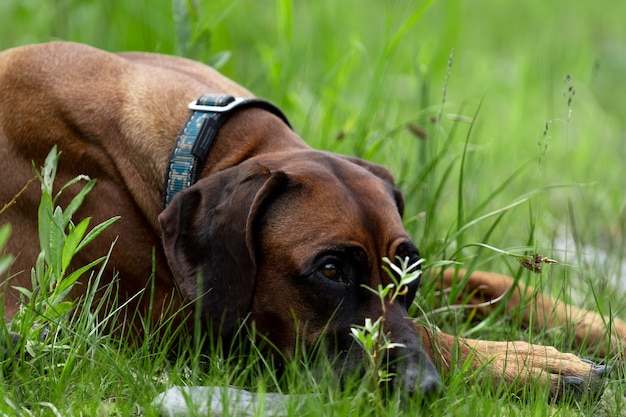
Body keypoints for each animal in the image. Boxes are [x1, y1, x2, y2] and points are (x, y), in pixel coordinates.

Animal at [0, 42, 620, 400]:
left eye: (410, 273)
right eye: (328, 270)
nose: (422, 388)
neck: (202, 135)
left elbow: (496, 284)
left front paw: (603, 329)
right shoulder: (167, 330)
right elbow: (429, 332)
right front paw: (525, 362)